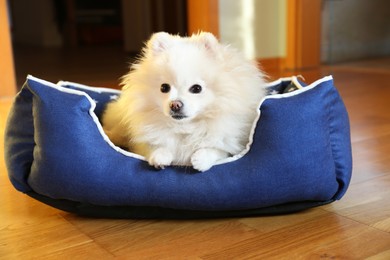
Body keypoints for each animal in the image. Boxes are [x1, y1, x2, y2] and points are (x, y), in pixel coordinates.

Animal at [102, 31, 266, 172]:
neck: (185, 127)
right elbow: (152, 145)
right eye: (164, 87)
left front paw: (201, 159)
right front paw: (160, 155)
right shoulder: (142, 140)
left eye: (196, 88)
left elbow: (218, 149)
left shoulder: (232, 142)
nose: (175, 104)